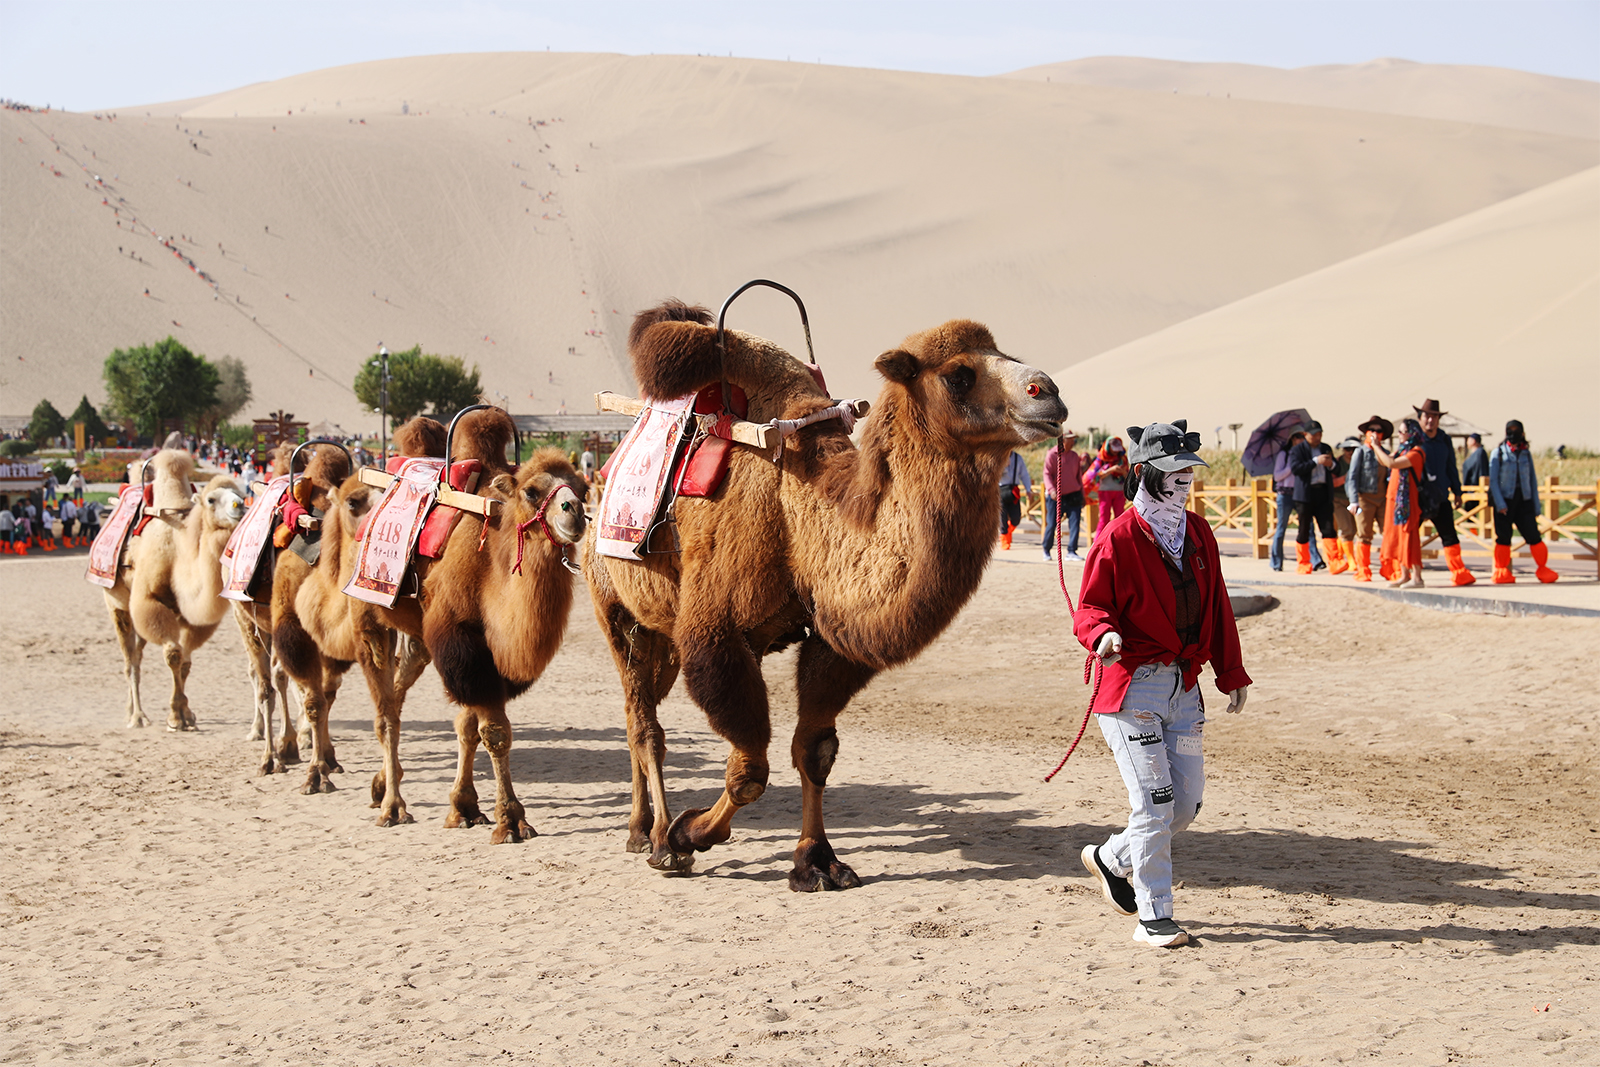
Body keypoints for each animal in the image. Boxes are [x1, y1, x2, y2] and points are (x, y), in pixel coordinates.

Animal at [103, 451, 248, 735]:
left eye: (239, 493)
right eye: (211, 499)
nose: (240, 506)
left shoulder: (191, 617)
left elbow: (185, 663)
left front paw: (187, 714)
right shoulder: (149, 602)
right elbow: (173, 655)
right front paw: (175, 717)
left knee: (137, 655)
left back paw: (132, 710)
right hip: (116, 603)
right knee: (129, 660)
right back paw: (136, 716)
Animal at [360, 409, 592, 844]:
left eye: (584, 487)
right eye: (531, 491)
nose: (573, 512)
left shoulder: (483, 654)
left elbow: (469, 726)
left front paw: (464, 806)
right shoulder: (462, 640)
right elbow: (495, 732)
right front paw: (511, 819)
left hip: (418, 638)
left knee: (396, 696)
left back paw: (382, 785)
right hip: (370, 616)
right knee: (384, 705)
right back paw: (392, 806)